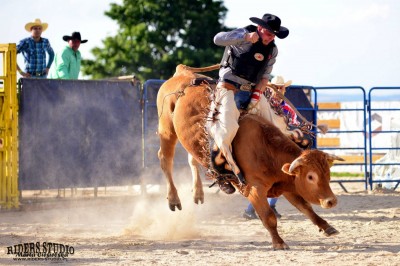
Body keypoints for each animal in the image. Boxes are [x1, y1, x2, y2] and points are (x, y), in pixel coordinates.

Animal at [156, 63, 344, 250]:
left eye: (328, 174)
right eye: (311, 176)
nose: (331, 201)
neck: (266, 150)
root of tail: (183, 72)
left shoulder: (287, 183)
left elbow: (305, 207)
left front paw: (326, 226)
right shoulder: (254, 189)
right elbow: (268, 216)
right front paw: (279, 242)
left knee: (192, 159)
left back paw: (198, 193)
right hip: (167, 129)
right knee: (165, 159)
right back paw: (173, 199)